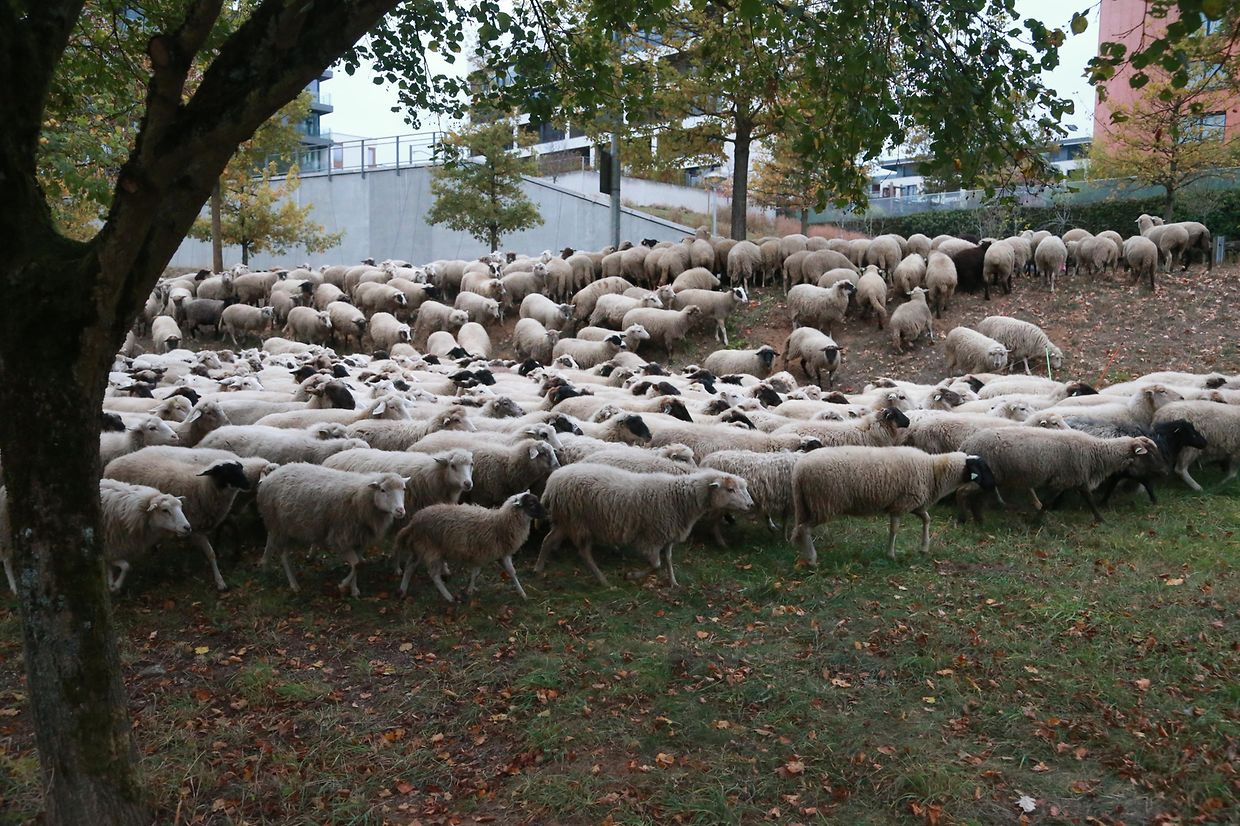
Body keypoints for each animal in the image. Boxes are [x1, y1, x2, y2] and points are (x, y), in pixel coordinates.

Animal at [103, 447, 273, 592]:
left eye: (240, 469)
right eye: (226, 471)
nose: (247, 484)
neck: (203, 487)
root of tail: (113, 462)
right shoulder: (194, 527)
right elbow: (211, 552)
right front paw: (220, 581)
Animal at [257, 463, 407, 597]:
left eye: (404, 489)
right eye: (383, 490)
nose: (400, 510)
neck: (360, 497)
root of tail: (270, 477)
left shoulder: (359, 540)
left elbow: (359, 564)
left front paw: (354, 590)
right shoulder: (341, 539)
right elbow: (357, 564)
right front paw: (343, 585)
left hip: (279, 524)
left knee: (270, 540)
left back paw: (265, 566)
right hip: (281, 526)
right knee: (284, 556)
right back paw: (293, 584)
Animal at [395, 492, 547, 601]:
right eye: (531, 504)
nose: (546, 514)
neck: (501, 522)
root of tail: (414, 521)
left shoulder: (499, 553)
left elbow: (511, 572)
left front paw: (522, 593)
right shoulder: (482, 553)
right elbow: (476, 572)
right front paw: (469, 590)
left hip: (421, 548)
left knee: (409, 566)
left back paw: (402, 590)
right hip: (431, 549)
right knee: (433, 575)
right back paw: (449, 597)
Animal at [536, 465, 752, 586]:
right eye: (730, 489)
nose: (750, 505)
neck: (680, 499)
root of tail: (552, 482)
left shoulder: (668, 535)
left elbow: (668, 560)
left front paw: (673, 582)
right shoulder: (652, 537)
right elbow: (656, 565)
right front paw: (632, 575)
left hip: (565, 520)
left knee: (547, 540)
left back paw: (538, 568)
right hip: (578, 522)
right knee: (584, 552)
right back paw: (603, 581)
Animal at [790, 447, 996, 563]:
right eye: (983, 467)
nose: (994, 485)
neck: (933, 471)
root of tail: (798, 471)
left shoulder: (914, 504)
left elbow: (927, 519)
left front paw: (924, 547)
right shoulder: (901, 505)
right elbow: (895, 529)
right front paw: (891, 554)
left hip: (807, 504)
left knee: (799, 529)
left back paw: (804, 553)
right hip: (824, 503)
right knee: (803, 529)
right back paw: (812, 558)